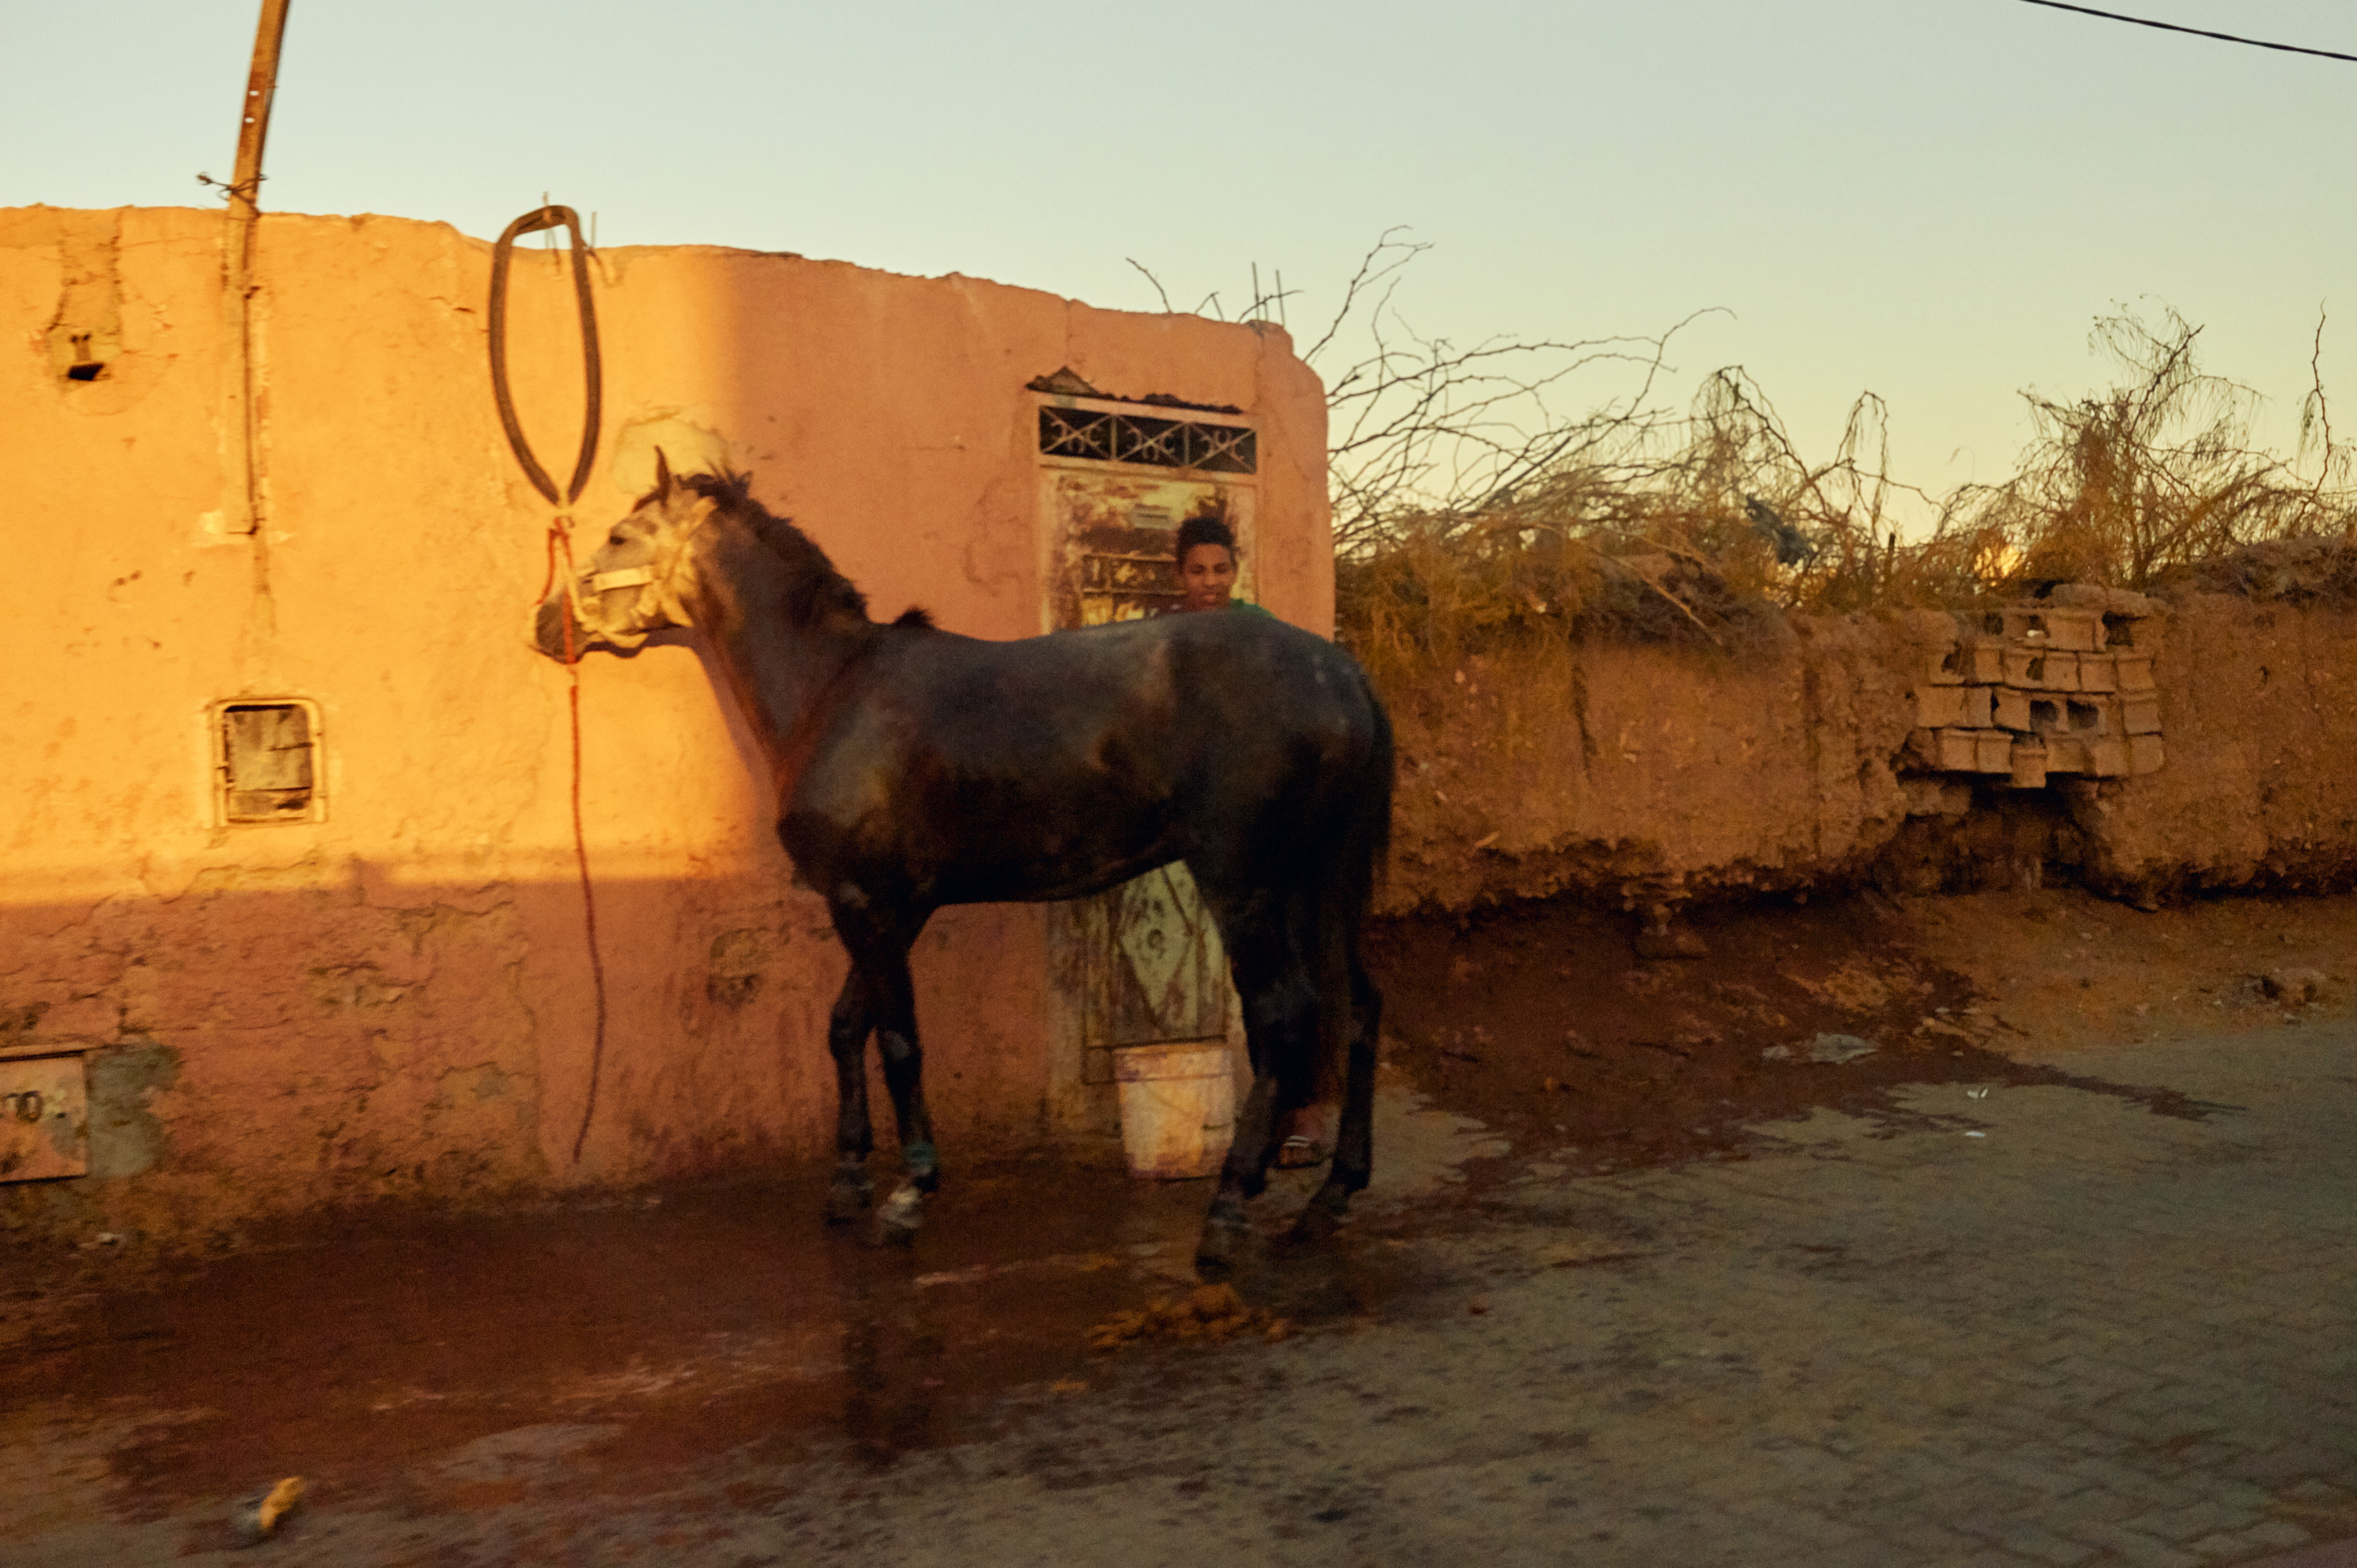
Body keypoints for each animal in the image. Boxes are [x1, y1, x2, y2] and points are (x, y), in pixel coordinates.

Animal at [532, 457, 1393, 1277]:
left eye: (619, 535)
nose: (546, 623)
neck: (833, 688)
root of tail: (1343, 674)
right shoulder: (894, 905)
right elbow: (846, 1026)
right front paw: (847, 1180)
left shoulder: (866, 902)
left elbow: (898, 1042)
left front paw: (909, 1193)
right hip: (1327, 882)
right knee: (1359, 1006)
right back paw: (1331, 1195)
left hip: (1246, 883)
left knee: (1283, 1013)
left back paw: (1229, 1207)